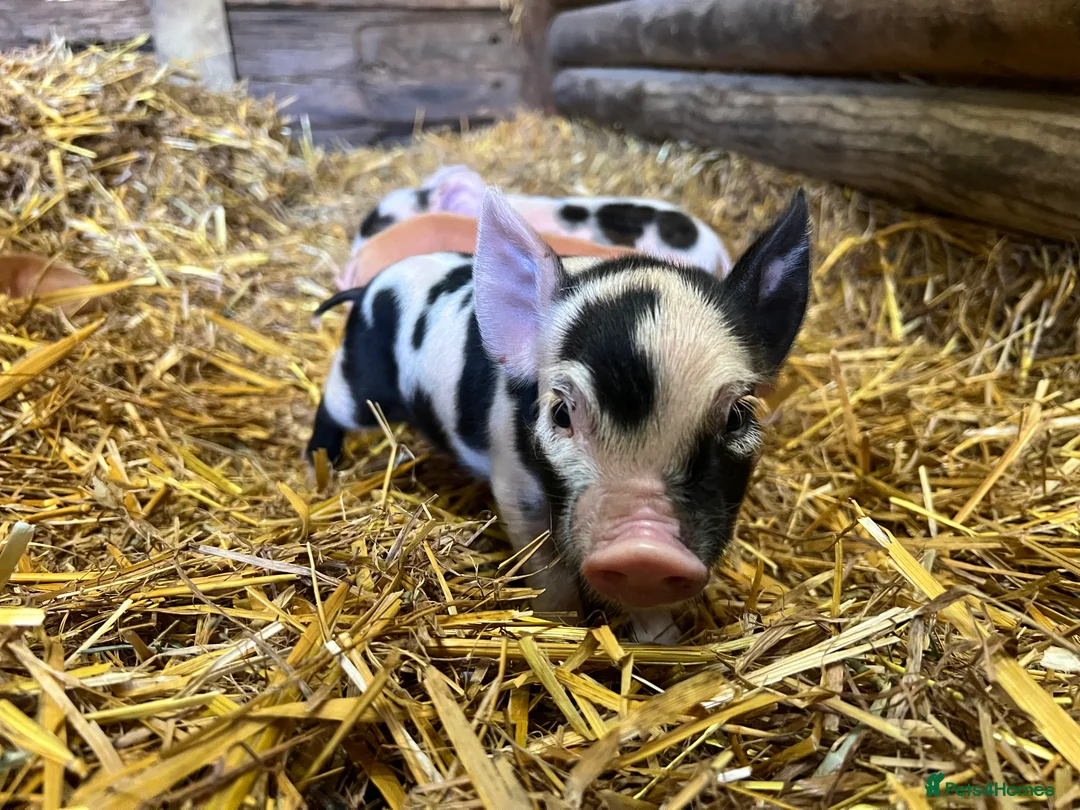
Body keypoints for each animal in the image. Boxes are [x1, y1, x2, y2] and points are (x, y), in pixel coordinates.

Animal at [309, 186, 811, 644]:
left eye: (738, 417)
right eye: (561, 413)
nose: (644, 550)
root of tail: (370, 288)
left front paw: (663, 642)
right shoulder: (515, 485)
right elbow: (547, 569)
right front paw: (562, 626)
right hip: (360, 384)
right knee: (330, 406)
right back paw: (319, 466)